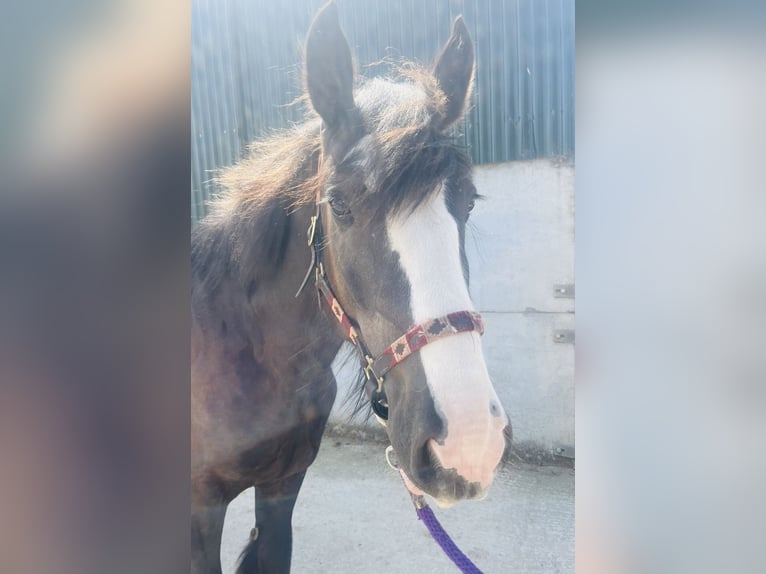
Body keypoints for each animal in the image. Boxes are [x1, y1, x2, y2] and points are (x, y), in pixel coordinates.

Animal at [191, 3, 511, 572]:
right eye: (338, 203)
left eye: (468, 201)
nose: (469, 443)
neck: (246, 357)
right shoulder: (198, 511)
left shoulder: (282, 487)